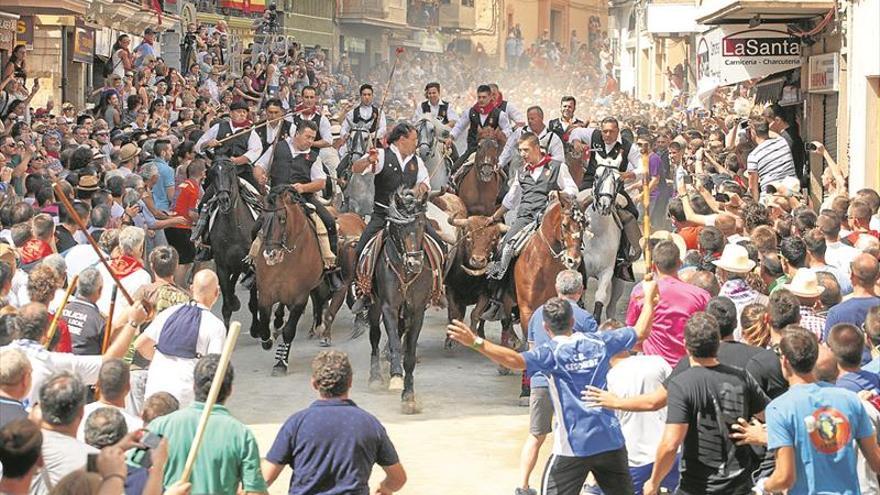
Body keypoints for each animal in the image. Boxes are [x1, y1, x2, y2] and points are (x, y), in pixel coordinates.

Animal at [209, 157, 258, 330]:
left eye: (231, 170)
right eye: (212, 172)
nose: (224, 200)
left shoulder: (253, 265)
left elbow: (254, 302)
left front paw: (257, 329)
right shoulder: (222, 266)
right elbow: (226, 304)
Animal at [253, 188, 324, 378]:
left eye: (282, 219)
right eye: (262, 218)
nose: (271, 255)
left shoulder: (300, 297)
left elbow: (289, 330)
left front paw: (280, 363)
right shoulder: (265, 292)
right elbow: (264, 321)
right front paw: (267, 339)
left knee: (318, 298)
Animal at [366, 189, 432, 414]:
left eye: (421, 223)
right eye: (400, 226)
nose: (415, 263)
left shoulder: (417, 311)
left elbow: (409, 355)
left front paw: (408, 397)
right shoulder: (389, 307)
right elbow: (394, 342)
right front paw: (395, 376)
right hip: (375, 306)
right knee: (375, 336)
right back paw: (375, 377)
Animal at [580, 157, 628, 324]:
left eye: (619, 179)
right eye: (596, 175)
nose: (604, 205)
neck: (597, 233)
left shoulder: (607, 271)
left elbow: (600, 297)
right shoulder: (583, 270)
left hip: (619, 280)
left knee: (611, 306)